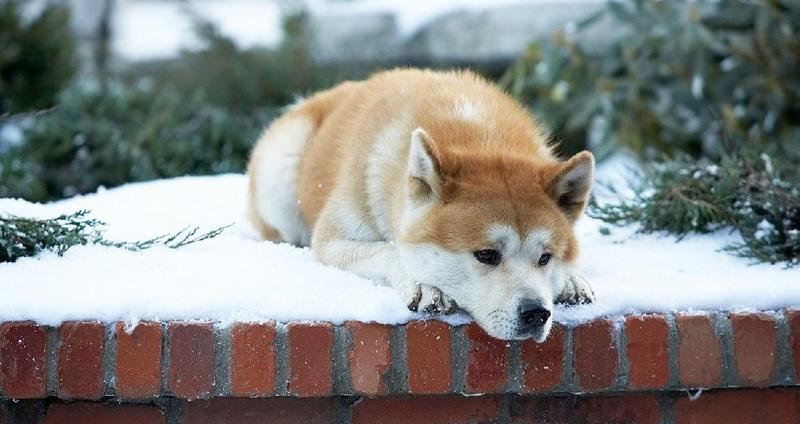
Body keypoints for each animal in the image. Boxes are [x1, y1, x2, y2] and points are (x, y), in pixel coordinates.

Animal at [248, 68, 592, 342]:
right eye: (486, 255)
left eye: (545, 257)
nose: (537, 313)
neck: (479, 137)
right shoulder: (331, 242)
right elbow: (389, 250)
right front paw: (425, 286)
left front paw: (572, 281)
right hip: (282, 171)